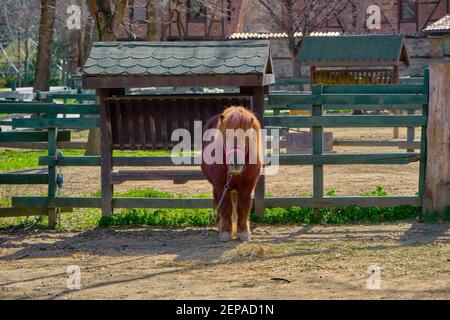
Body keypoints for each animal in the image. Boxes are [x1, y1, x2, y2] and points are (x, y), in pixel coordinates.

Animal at [201, 106, 264, 241]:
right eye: (225, 136)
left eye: (247, 137)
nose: (235, 162)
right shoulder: (220, 185)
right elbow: (225, 206)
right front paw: (225, 232)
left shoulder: (248, 185)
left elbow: (244, 205)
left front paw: (243, 232)